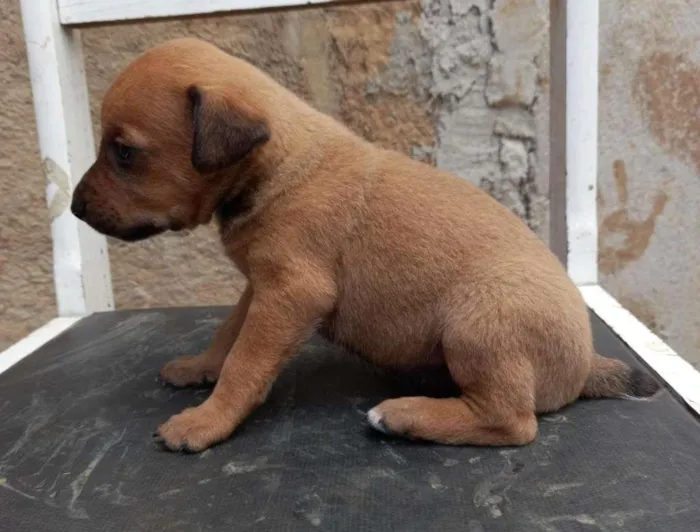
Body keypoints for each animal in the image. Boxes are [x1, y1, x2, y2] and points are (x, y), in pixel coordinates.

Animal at [68, 38, 660, 454]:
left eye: (124, 152)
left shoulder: (289, 295)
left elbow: (245, 364)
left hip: (481, 320)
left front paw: (205, 422)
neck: (278, 163)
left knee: (513, 422)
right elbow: (228, 336)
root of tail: (584, 363)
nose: (73, 207)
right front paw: (199, 369)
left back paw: (402, 415)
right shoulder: (259, 289)